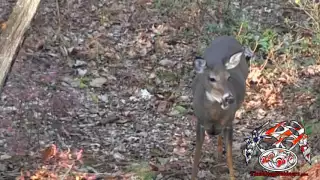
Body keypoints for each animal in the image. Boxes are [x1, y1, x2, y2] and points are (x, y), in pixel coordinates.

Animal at [191, 35, 249, 180]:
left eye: (228, 77)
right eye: (212, 78)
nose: (229, 98)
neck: (213, 116)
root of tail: (226, 37)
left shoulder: (229, 122)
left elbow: (229, 156)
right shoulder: (199, 122)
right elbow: (196, 156)